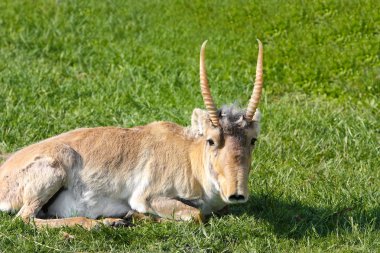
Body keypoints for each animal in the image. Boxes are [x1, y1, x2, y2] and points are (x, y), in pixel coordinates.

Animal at [0, 40, 262, 229]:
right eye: (211, 140)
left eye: (253, 139)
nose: (237, 194)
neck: (190, 155)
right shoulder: (147, 196)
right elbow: (196, 214)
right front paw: (133, 216)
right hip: (54, 170)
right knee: (25, 219)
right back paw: (99, 224)